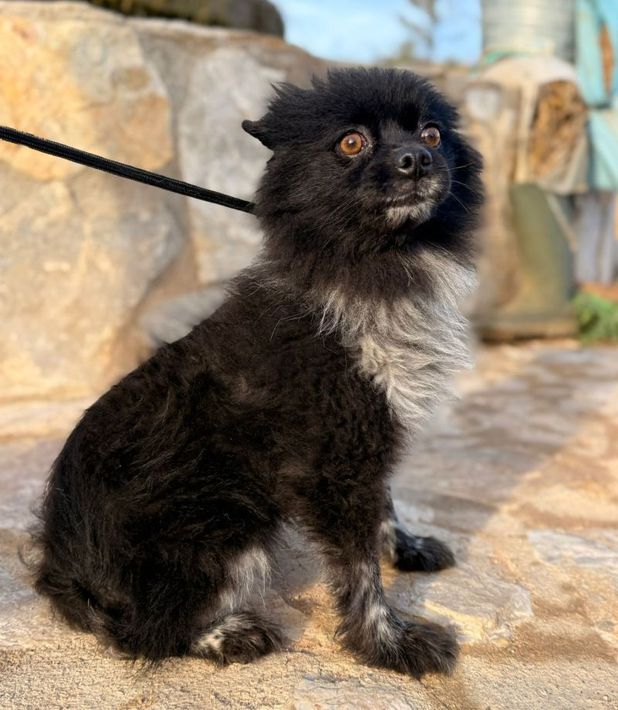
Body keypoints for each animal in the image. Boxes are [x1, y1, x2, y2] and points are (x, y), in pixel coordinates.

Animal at [33, 67, 483, 677]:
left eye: (433, 133)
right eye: (351, 142)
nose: (417, 158)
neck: (375, 262)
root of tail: (65, 568)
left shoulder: (365, 435)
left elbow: (385, 507)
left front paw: (407, 549)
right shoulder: (334, 460)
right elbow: (360, 571)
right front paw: (390, 645)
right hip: (228, 521)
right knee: (143, 632)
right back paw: (229, 635)